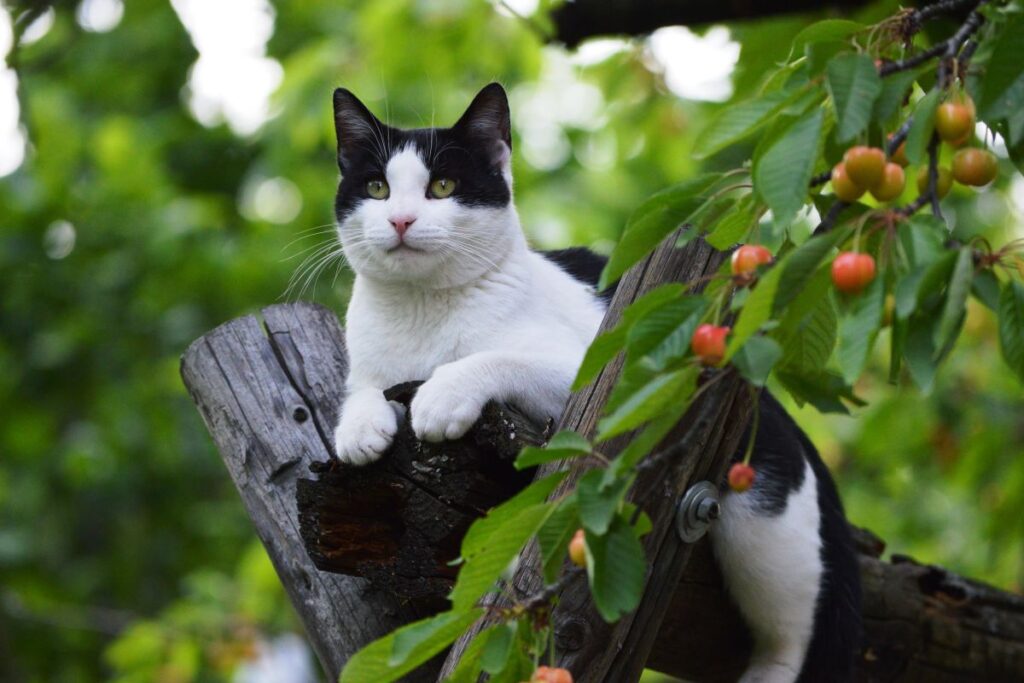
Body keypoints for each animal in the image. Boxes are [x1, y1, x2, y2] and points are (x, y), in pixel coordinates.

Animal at [331, 83, 860, 683]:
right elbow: (363, 387)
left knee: (788, 633)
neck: (420, 312)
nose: (399, 220)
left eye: (442, 186)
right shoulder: (368, 366)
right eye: (376, 188)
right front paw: (359, 428)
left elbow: (494, 358)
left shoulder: (589, 369)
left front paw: (440, 396)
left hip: (761, 519)